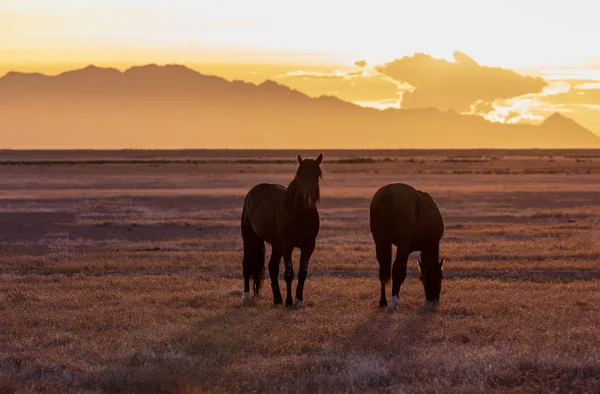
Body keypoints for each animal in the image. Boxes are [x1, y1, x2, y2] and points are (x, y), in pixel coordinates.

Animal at [240, 152, 324, 306]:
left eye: (317, 175)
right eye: (300, 175)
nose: (308, 201)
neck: (300, 214)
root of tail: (253, 191)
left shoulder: (309, 245)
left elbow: (302, 272)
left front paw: (298, 300)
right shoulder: (287, 244)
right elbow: (289, 273)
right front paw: (289, 301)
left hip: (276, 244)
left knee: (272, 266)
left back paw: (277, 299)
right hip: (249, 237)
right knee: (247, 264)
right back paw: (246, 296)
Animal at [368, 182, 442, 310]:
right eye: (441, 278)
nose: (434, 300)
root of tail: (388, 192)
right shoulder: (407, 247)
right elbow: (402, 272)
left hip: (380, 240)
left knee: (382, 270)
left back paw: (383, 302)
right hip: (402, 243)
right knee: (396, 269)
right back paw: (394, 302)